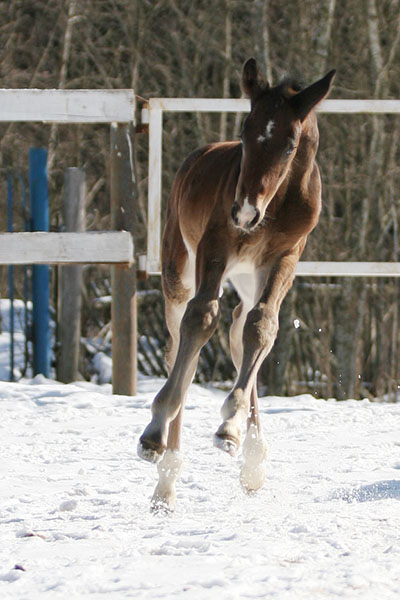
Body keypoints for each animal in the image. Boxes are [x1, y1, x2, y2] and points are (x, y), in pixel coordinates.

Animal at [138, 57, 334, 510]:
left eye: (290, 144)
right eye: (245, 133)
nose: (245, 212)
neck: (276, 204)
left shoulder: (285, 258)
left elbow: (263, 326)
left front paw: (230, 429)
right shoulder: (216, 244)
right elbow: (200, 320)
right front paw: (153, 434)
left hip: (249, 277)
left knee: (241, 328)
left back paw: (248, 456)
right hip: (178, 270)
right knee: (181, 342)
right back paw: (166, 479)